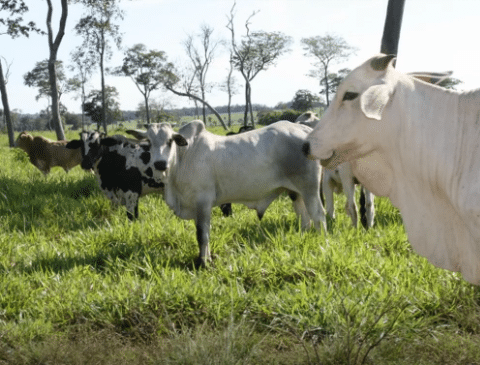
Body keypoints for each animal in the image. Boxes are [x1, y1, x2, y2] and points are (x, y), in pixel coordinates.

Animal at [129, 121, 328, 266]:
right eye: (148, 143)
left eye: (170, 141)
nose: (160, 164)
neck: (183, 157)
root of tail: (304, 129)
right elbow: (204, 233)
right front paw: (206, 258)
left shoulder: (203, 201)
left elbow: (202, 234)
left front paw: (203, 263)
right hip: (296, 191)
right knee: (304, 217)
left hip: (309, 189)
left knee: (318, 216)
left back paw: (322, 242)